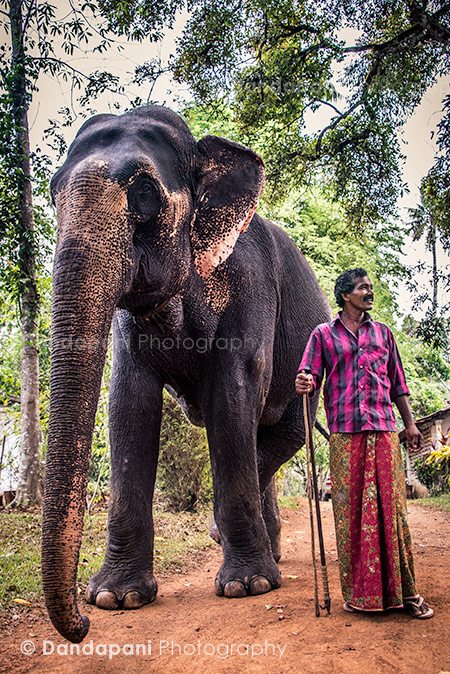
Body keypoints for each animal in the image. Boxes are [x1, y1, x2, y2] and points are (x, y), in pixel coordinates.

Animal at [42, 105, 331, 643]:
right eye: (52, 193)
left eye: (144, 195)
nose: (82, 625)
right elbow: (129, 403)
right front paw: (116, 598)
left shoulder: (250, 284)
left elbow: (232, 394)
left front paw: (246, 587)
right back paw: (272, 555)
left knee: (282, 435)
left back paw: (257, 560)